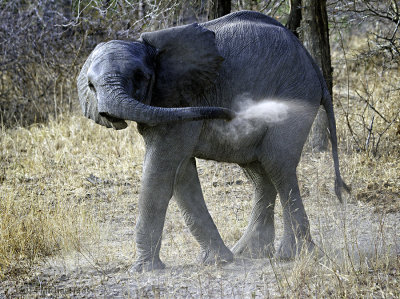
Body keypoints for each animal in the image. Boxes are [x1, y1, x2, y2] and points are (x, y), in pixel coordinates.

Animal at [77, 9, 346, 272]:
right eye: (91, 85)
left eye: (141, 76)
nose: (231, 114)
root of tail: (313, 66)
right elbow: (181, 174)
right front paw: (219, 261)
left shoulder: (178, 99)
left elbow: (161, 169)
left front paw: (143, 269)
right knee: (261, 173)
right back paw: (251, 253)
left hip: (296, 93)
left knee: (278, 165)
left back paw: (291, 255)